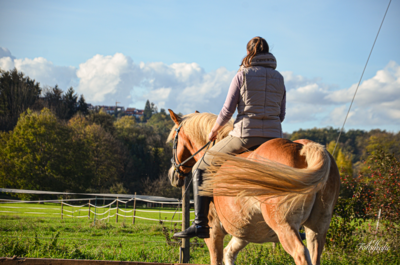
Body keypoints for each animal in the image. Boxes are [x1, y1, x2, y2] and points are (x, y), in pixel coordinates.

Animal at [166, 108, 340, 262]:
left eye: (174, 141)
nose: (173, 176)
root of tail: (301, 148)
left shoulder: (214, 232)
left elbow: (217, 258)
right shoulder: (244, 232)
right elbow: (229, 253)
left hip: (284, 224)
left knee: (301, 254)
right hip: (317, 227)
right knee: (315, 253)